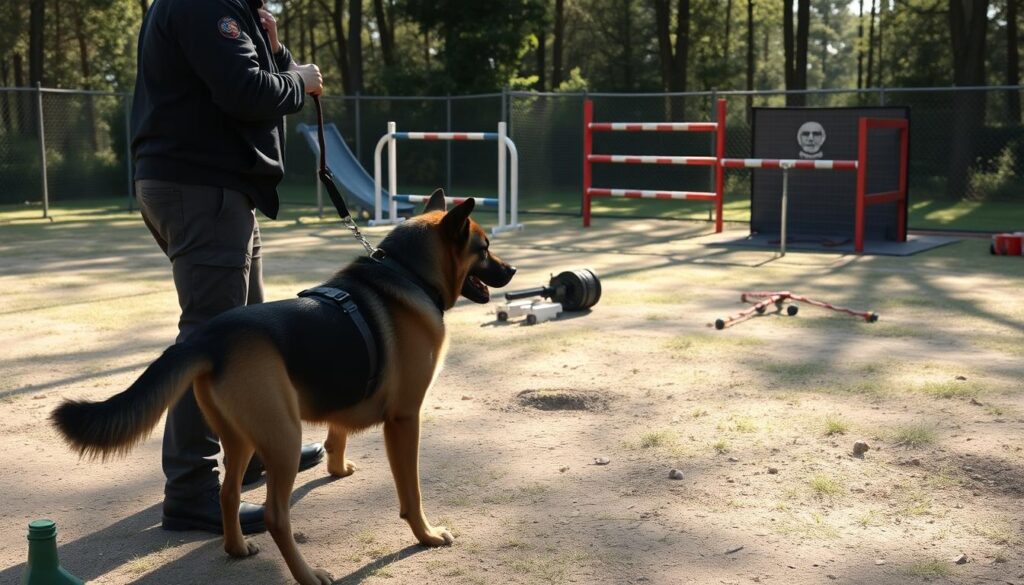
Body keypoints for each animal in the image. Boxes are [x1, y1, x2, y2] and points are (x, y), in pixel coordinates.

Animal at [51, 192, 516, 585]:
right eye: (483, 247)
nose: (512, 271)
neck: (406, 272)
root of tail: (210, 340)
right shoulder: (404, 420)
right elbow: (411, 492)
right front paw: (426, 535)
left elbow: (337, 434)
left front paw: (336, 467)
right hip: (284, 439)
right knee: (276, 516)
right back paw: (308, 575)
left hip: (241, 439)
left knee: (228, 493)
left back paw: (237, 547)